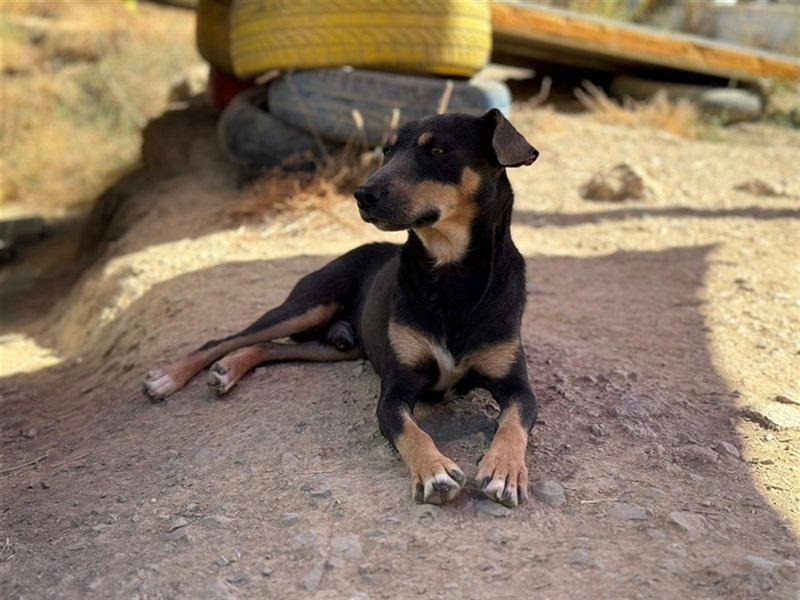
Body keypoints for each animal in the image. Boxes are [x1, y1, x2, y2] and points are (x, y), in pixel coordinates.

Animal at [145, 110, 544, 508]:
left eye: (437, 150)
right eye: (387, 151)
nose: (362, 194)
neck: (451, 274)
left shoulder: (518, 388)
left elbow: (514, 424)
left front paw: (505, 469)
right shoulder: (394, 391)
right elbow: (413, 433)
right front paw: (435, 470)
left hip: (340, 346)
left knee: (268, 346)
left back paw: (228, 369)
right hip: (308, 305)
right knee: (224, 340)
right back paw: (169, 377)